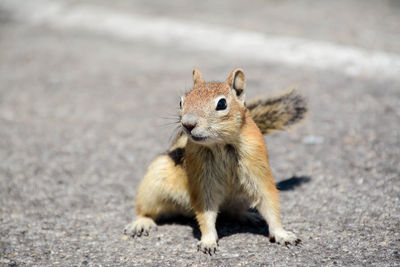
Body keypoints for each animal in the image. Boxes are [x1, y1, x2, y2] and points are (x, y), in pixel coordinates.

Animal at [124, 68, 306, 255]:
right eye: (181, 101)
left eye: (221, 104)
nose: (187, 124)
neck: (221, 143)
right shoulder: (203, 180)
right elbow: (206, 210)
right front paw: (209, 240)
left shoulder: (256, 167)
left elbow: (269, 201)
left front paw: (282, 234)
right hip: (152, 185)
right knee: (145, 210)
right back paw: (141, 223)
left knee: (234, 211)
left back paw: (249, 215)